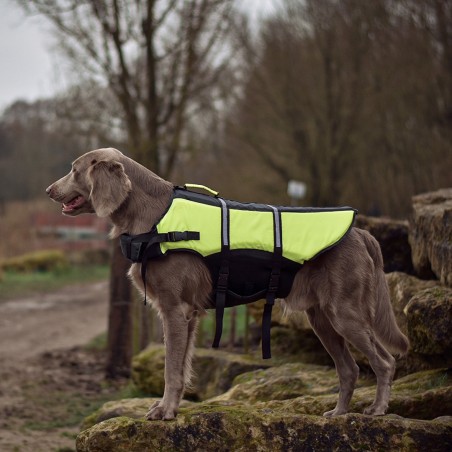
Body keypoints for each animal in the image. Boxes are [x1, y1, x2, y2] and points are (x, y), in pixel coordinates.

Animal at [46, 147, 410, 420]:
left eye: (74, 170)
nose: (48, 191)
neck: (153, 216)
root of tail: (361, 233)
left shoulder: (175, 310)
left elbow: (170, 369)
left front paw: (164, 411)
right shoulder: (191, 314)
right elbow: (182, 368)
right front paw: (172, 408)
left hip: (345, 314)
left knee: (384, 361)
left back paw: (378, 409)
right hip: (321, 318)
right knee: (349, 369)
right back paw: (338, 413)